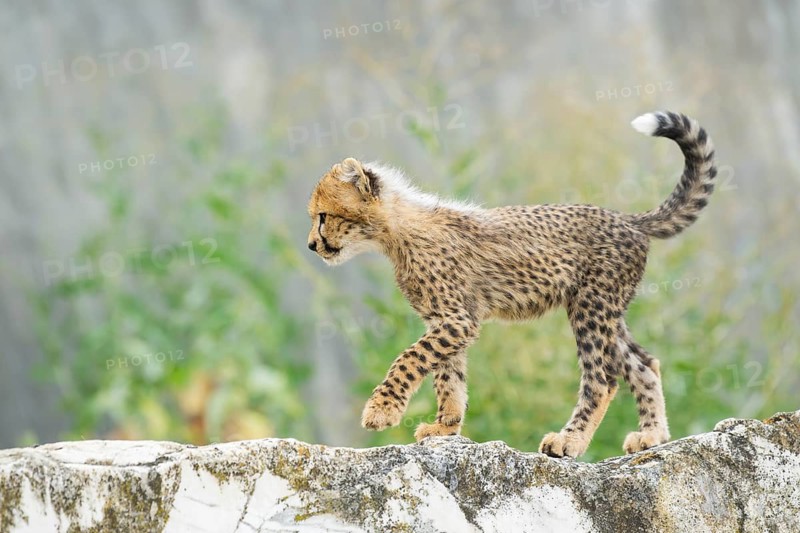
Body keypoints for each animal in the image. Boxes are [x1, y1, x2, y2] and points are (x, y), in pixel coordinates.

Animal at [306, 111, 716, 458]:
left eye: (323, 216)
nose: (311, 245)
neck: (395, 231)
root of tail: (627, 219)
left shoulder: (456, 320)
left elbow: (410, 358)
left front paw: (382, 409)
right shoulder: (447, 320)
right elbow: (448, 376)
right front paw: (445, 427)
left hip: (591, 308)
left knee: (602, 378)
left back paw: (569, 441)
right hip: (607, 312)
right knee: (644, 364)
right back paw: (652, 436)